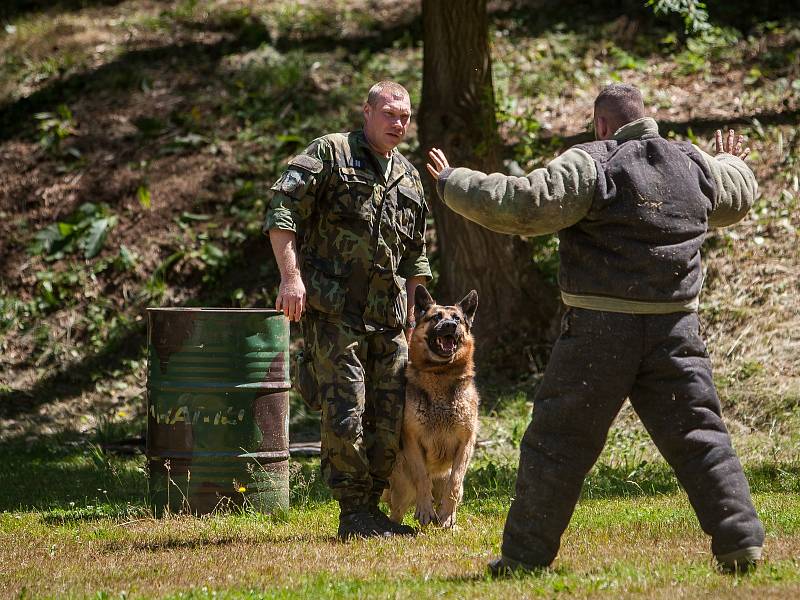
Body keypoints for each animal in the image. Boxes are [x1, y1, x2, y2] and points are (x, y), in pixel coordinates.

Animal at [384, 284, 478, 524]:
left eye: (457, 318)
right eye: (436, 317)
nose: (450, 326)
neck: (440, 374)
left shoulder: (466, 443)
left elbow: (455, 482)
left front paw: (447, 516)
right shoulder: (412, 440)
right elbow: (422, 478)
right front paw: (426, 509)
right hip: (402, 489)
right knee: (397, 512)